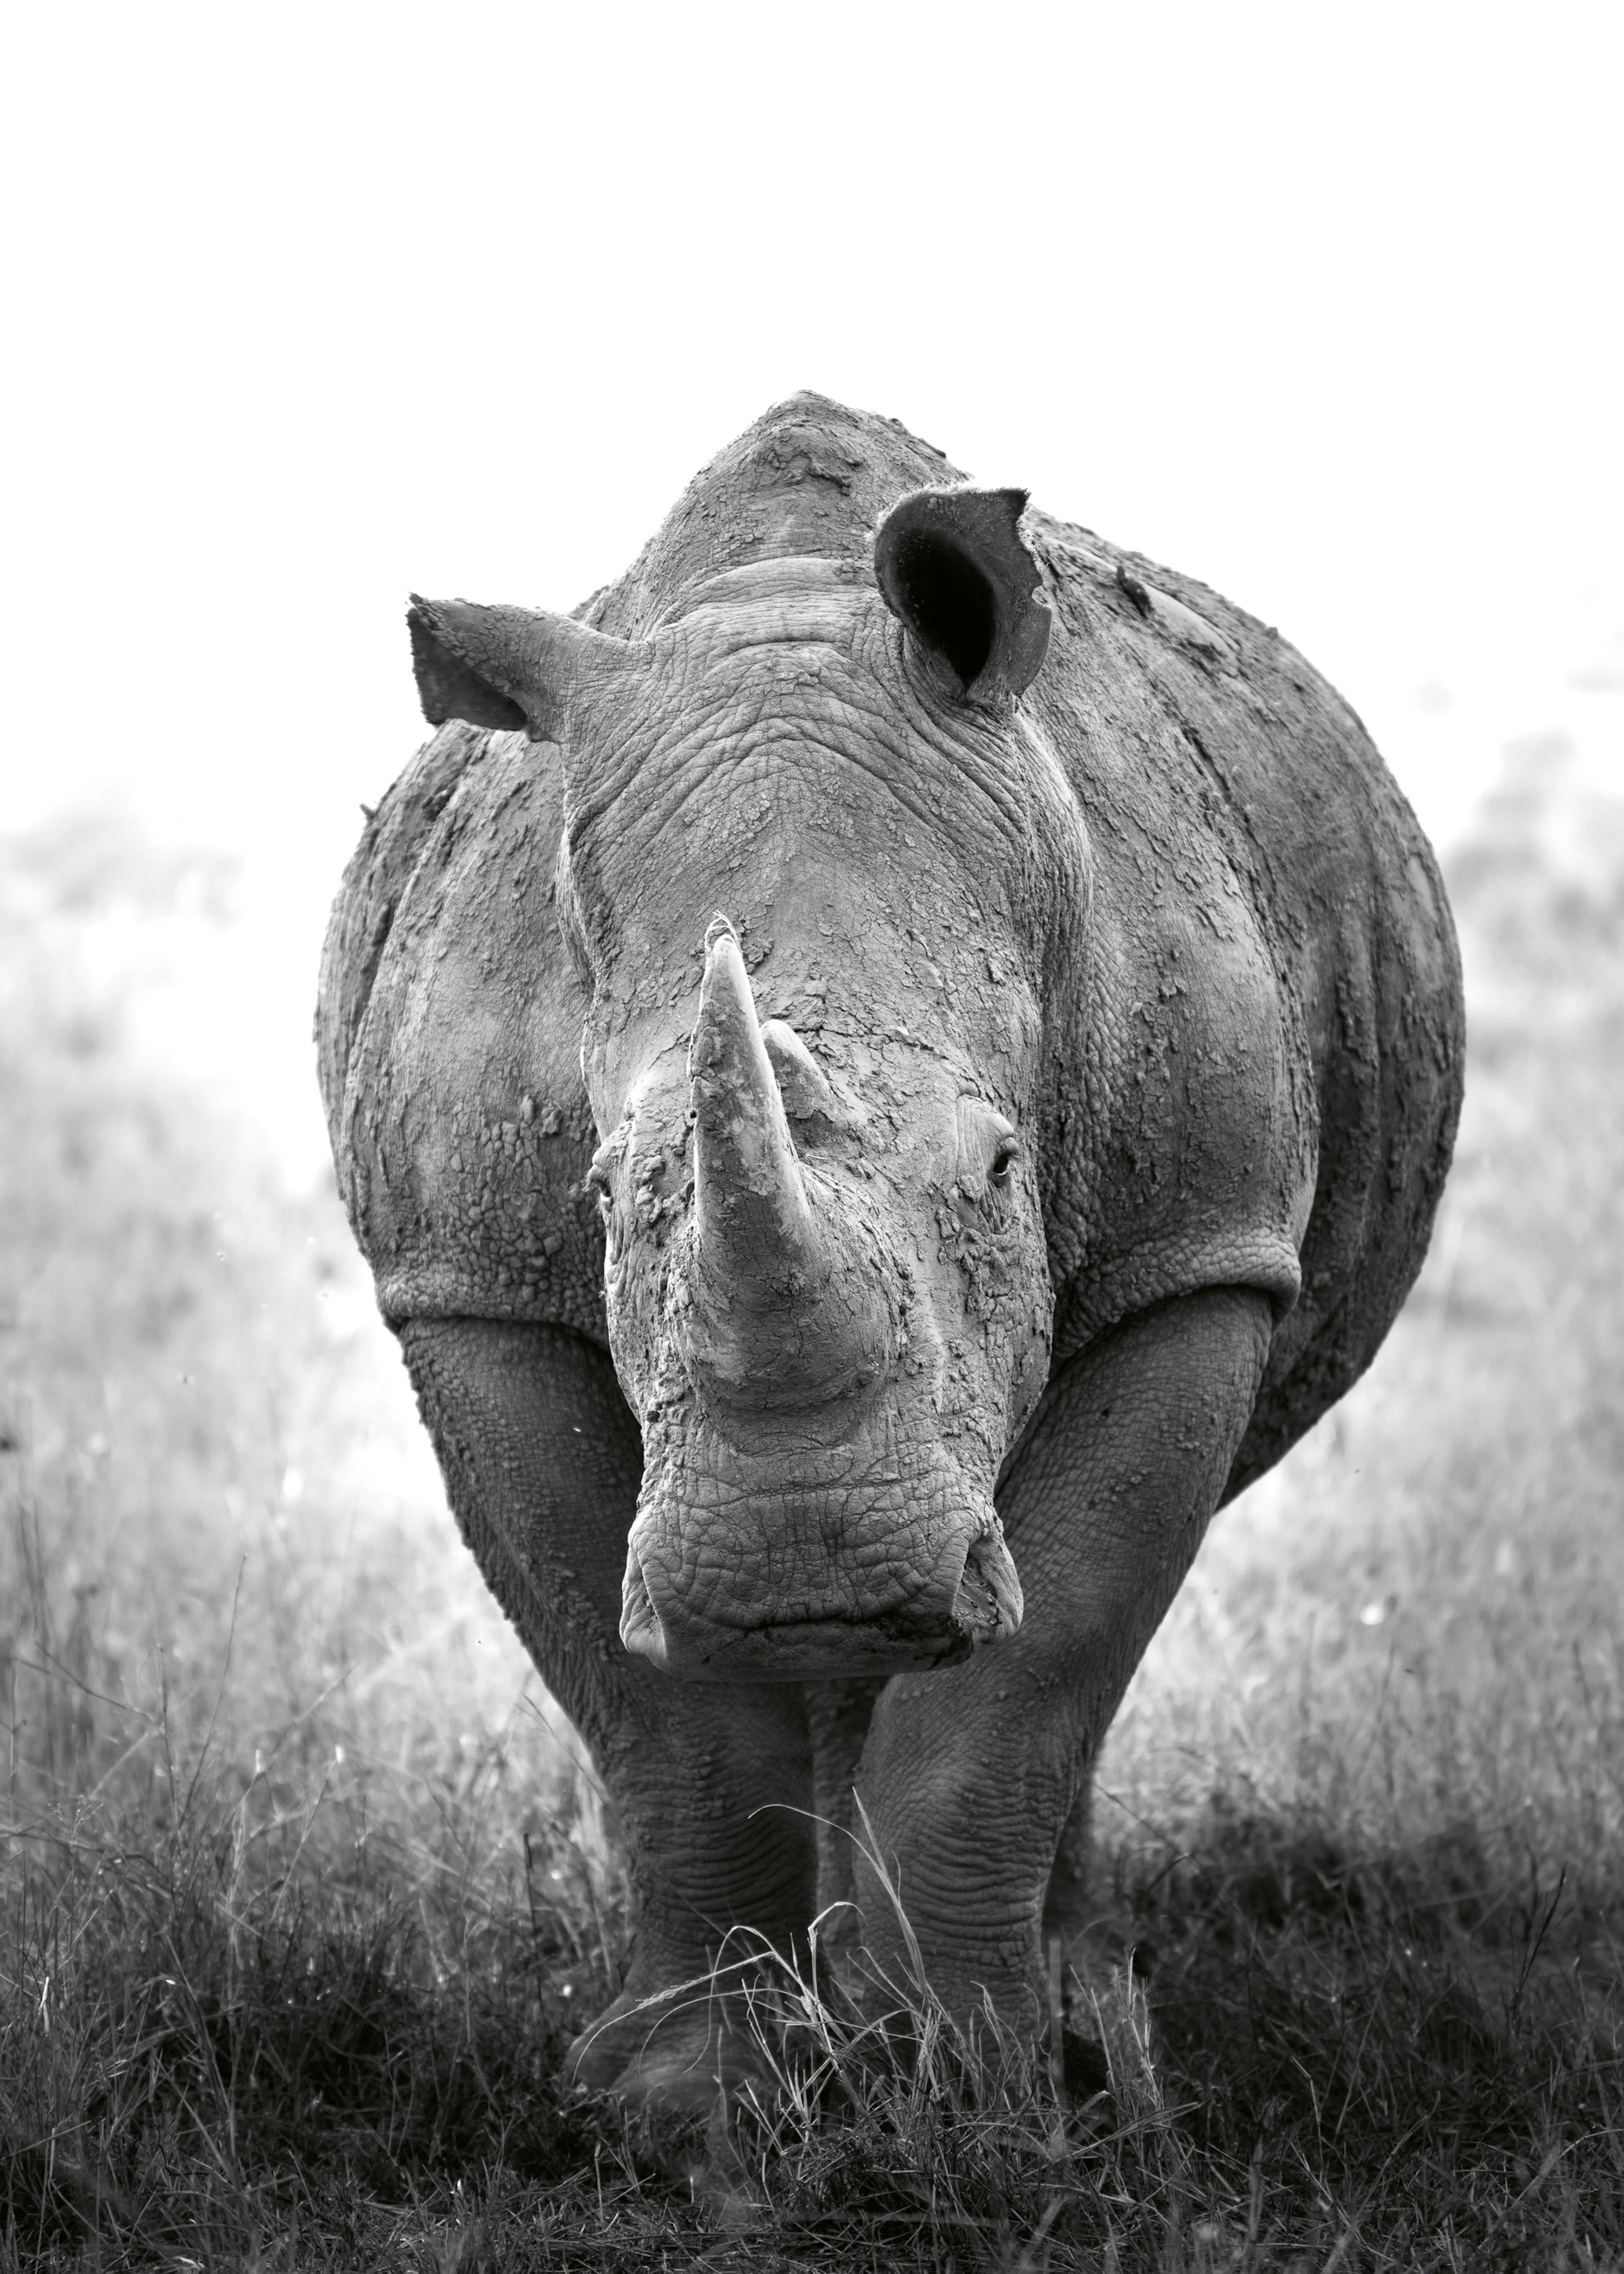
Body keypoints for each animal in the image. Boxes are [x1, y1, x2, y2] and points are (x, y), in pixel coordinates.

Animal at [318, 392, 1462, 2111]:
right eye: (604, 1195)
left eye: (999, 1171)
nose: (808, 1571)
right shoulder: (466, 1284)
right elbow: (652, 1709)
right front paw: (684, 2100)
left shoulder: (1199, 1243)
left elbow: (1034, 1668)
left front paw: (993, 2088)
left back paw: (1064, 2016)